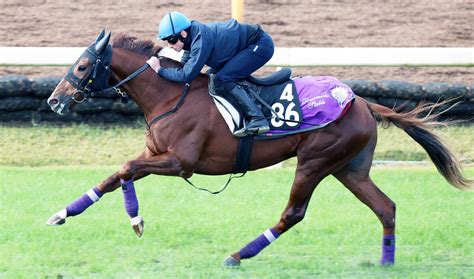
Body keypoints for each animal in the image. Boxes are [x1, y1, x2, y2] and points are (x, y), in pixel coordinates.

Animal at [45, 31, 470, 268]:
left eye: (82, 66)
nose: (54, 100)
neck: (169, 94)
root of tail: (362, 101)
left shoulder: (181, 162)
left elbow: (126, 168)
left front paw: (135, 220)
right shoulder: (156, 156)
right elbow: (115, 175)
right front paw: (62, 213)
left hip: (315, 161)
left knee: (293, 213)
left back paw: (237, 255)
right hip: (349, 168)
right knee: (386, 208)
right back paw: (385, 262)